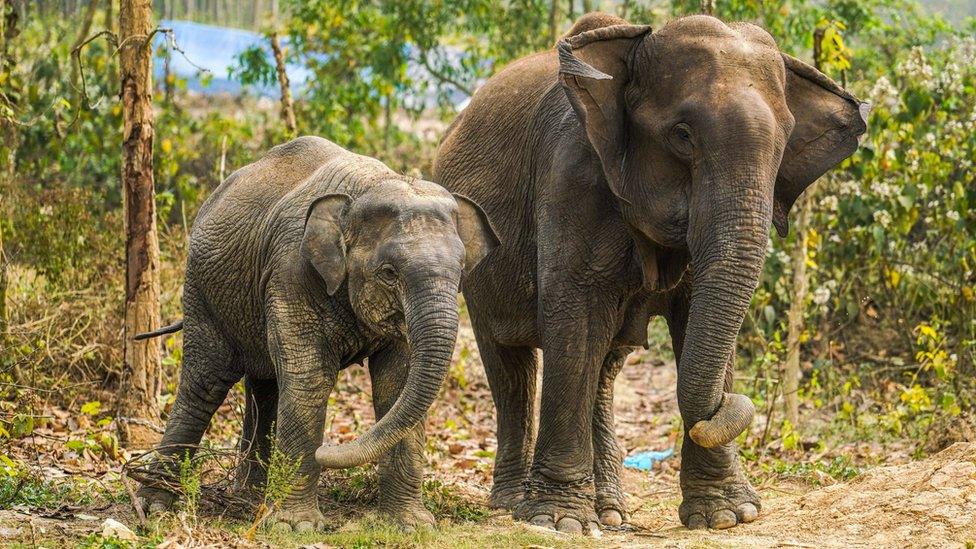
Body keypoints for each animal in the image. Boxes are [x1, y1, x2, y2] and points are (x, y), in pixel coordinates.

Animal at [134, 137, 500, 532]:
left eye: (461, 271)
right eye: (389, 272)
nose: (328, 451)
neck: (366, 189)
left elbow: (397, 382)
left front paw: (411, 525)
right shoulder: (290, 272)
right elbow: (310, 377)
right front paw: (297, 527)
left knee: (265, 388)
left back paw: (251, 500)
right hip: (203, 292)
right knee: (204, 383)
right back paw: (155, 505)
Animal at [434, 12, 868, 532]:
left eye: (785, 143)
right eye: (682, 135)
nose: (731, 405)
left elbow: (694, 315)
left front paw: (727, 516)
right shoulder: (570, 178)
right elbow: (576, 321)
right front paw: (559, 523)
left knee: (603, 370)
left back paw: (611, 512)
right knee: (511, 363)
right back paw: (514, 505)